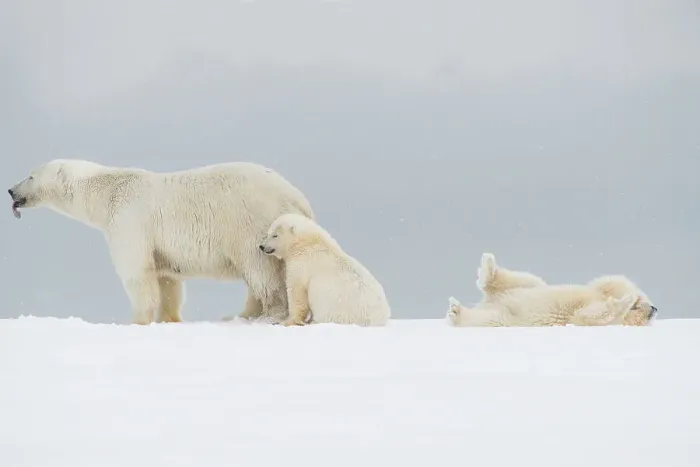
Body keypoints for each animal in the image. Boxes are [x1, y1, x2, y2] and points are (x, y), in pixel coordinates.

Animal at [8, 159, 315, 325]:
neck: (108, 191)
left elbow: (137, 273)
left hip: (252, 225)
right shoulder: (161, 246)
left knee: (261, 271)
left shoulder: (129, 220)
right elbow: (167, 279)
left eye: (30, 175)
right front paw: (167, 318)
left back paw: (264, 314)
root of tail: (299, 199)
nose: (10, 190)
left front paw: (136, 321)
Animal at [258, 213, 391, 326]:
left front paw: (286, 321)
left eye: (275, 235)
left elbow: (297, 291)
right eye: (268, 233)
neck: (307, 242)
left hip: (338, 311)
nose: (262, 246)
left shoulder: (302, 264)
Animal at [447, 252, 657, 327]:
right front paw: (630, 297)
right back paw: (488, 264)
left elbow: (588, 315)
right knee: (524, 281)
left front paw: (624, 301)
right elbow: (610, 282)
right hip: (532, 288)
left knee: (486, 319)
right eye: (643, 304)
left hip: (505, 319)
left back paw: (456, 312)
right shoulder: (597, 289)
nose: (654, 309)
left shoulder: (580, 320)